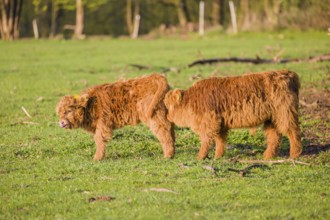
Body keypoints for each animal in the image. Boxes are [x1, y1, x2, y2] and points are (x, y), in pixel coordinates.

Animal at [164, 70, 302, 160]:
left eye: (168, 106)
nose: (167, 117)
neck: (192, 101)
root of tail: (286, 73)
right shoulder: (220, 124)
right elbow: (220, 140)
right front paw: (217, 156)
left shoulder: (209, 123)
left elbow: (206, 140)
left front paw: (200, 157)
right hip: (271, 119)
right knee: (275, 136)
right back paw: (267, 156)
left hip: (285, 113)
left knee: (293, 132)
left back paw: (294, 155)